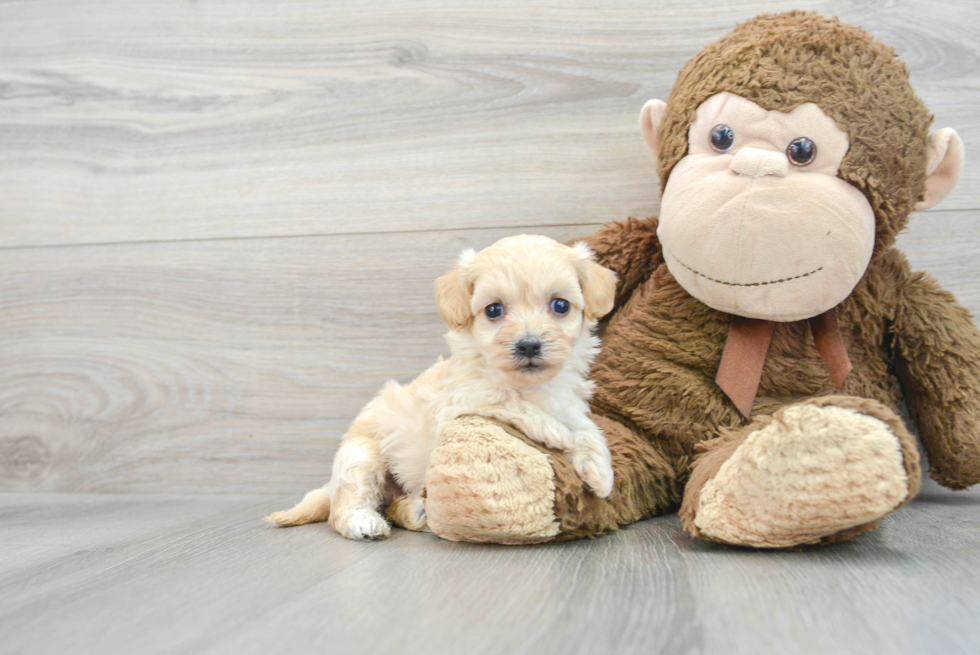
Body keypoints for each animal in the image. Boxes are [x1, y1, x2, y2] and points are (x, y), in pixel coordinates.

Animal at [266, 236, 620, 544]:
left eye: (560, 305)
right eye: (494, 310)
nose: (529, 344)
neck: (529, 384)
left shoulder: (569, 404)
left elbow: (588, 431)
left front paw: (600, 472)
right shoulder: (464, 400)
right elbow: (510, 402)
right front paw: (557, 434)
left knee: (394, 507)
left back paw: (417, 511)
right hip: (361, 455)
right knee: (343, 509)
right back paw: (364, 522)